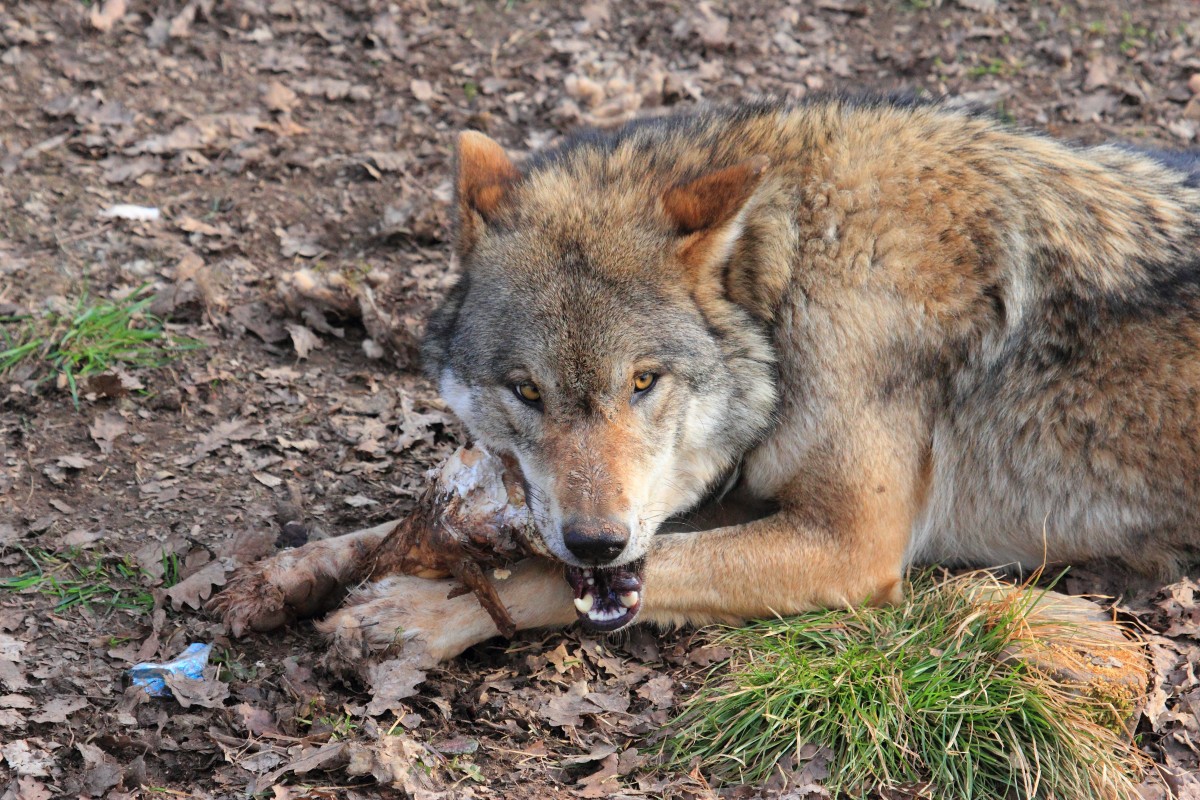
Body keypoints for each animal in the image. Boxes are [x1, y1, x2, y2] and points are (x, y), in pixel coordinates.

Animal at [220, 98, 1195, 662]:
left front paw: (406, 619)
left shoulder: (849, 544)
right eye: (527, 391)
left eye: (644, 381)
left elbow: (550, 575)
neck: (793, 273)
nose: (596, 540)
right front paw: (292, 572)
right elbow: (407, 526)